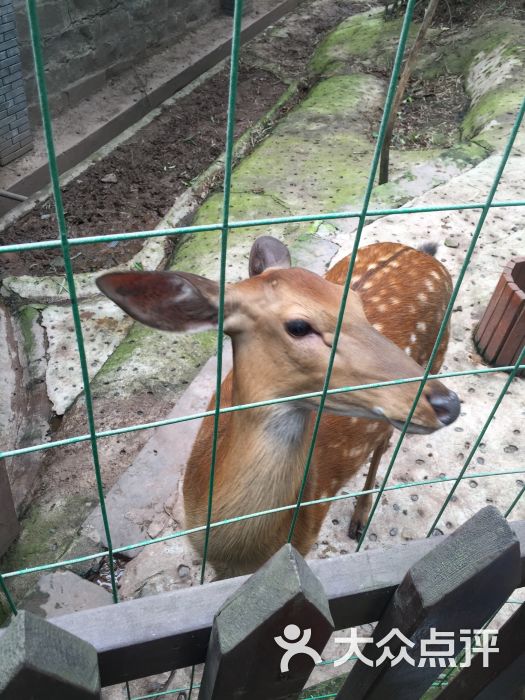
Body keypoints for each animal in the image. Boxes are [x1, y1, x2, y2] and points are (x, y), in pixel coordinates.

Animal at [98, 238, 458, 576]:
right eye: (298, 327)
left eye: (358, 308)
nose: (449, 403)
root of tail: (423, 253)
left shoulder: (305, 540)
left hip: (437, 358)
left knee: (383, 445)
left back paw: (360, 518)